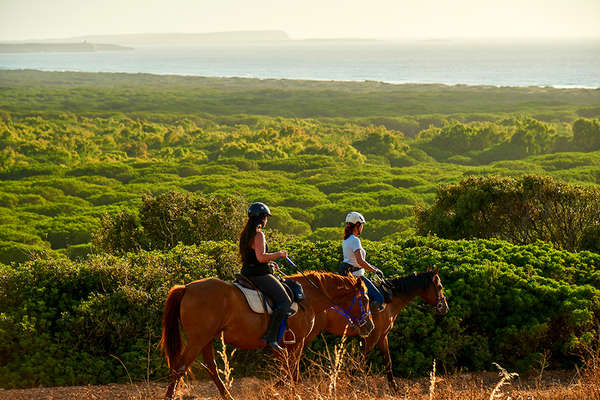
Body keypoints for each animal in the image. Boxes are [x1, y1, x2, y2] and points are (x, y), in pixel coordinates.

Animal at [162, 270, 372, 398]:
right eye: (365, 300)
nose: (369, 327)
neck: (308, 298)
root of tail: (187, 288)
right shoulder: (296, 343)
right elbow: (293, 373)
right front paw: (288, 393)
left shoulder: (281, 345)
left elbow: (287, 372)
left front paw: (274, 390)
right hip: (198, 339)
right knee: (179, 368)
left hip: (206, 338)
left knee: (210, 368)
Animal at [308, 268, 448, 392]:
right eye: (440, 286)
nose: (445, 307)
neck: (390, 300)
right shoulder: (372, 337)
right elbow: (360, 361)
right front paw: (351, 386)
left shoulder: (382, 336)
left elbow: (388, 362)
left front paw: (394, 389)